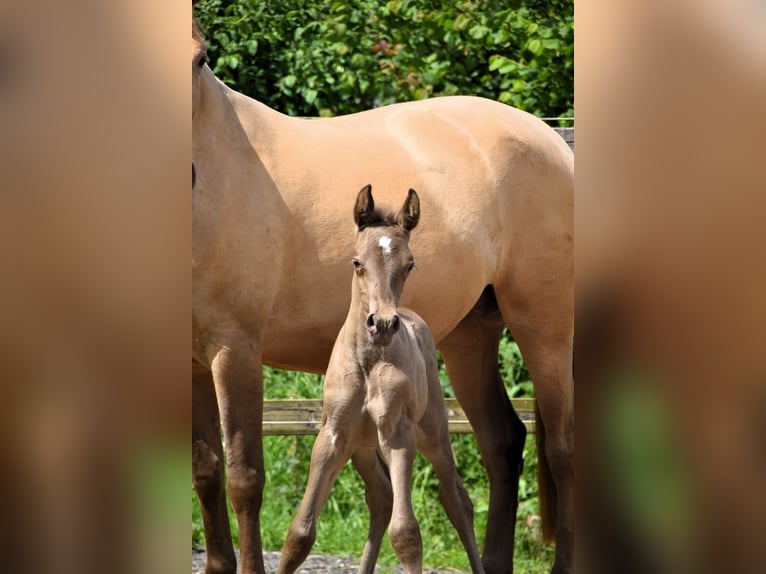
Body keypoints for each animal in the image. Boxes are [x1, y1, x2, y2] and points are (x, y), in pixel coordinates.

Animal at [194, 11, 576, 574]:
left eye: (199, 58)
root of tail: (550, 138)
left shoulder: (234, 347)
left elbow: (244, 477)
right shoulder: (195, 358)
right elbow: (207, 469)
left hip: (545, 326)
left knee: (562, 448)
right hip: (470, 336)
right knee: (503, 442)